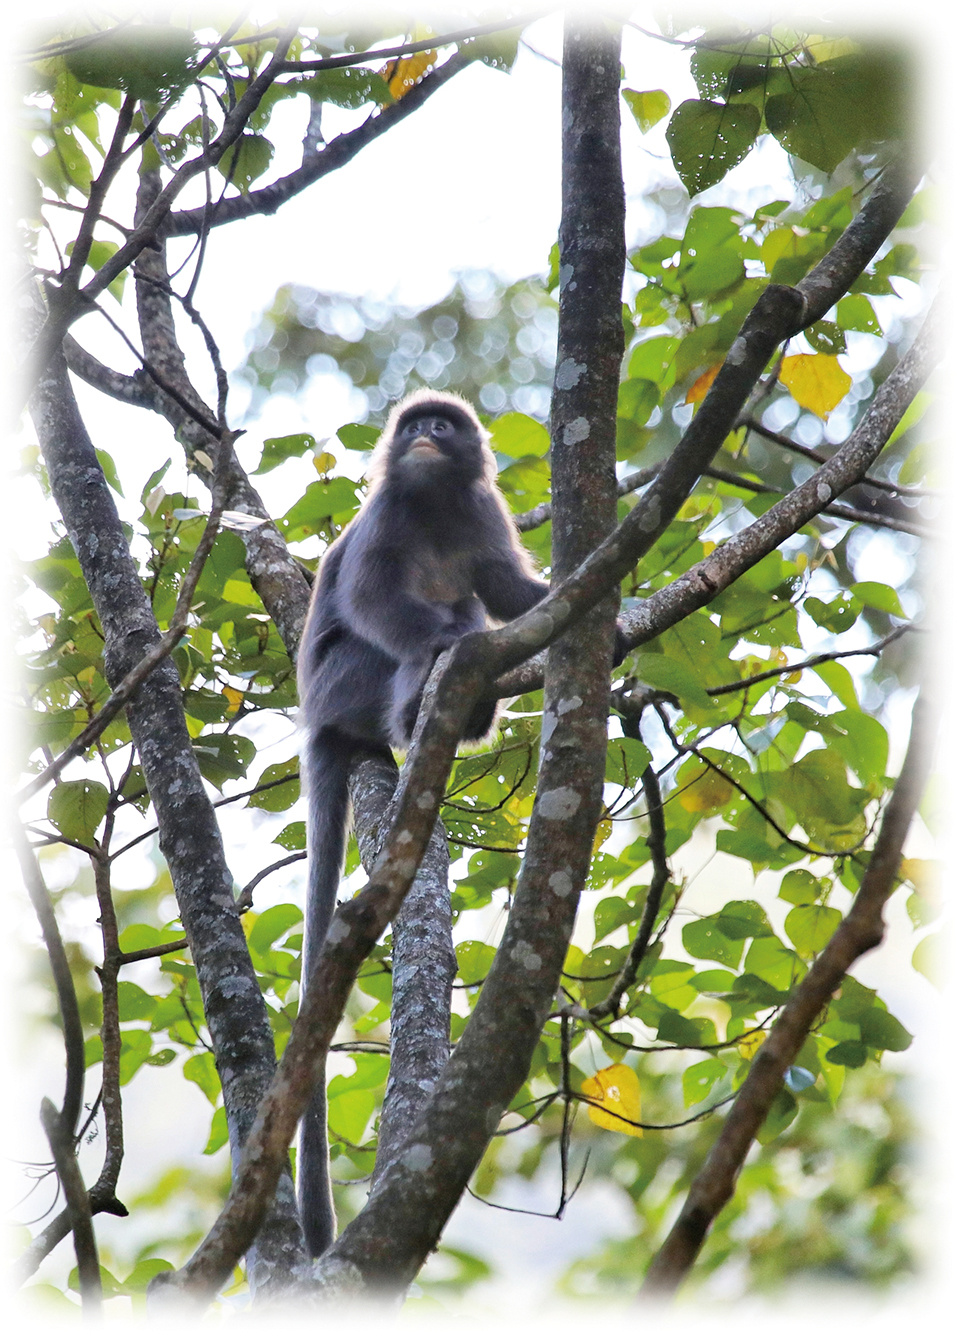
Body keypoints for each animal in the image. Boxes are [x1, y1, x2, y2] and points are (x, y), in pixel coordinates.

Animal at [292, 388, 552, 1255]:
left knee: (469, 599)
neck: (435, 502)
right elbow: (374, 599)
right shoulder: (387, 514)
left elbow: (504, 585)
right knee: (407, 644)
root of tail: (317, 719)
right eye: (414, 428)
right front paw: (446, 640)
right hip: (346, 681)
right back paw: (424, 696)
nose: (428, 433)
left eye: (443, 425)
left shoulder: (481, 508)